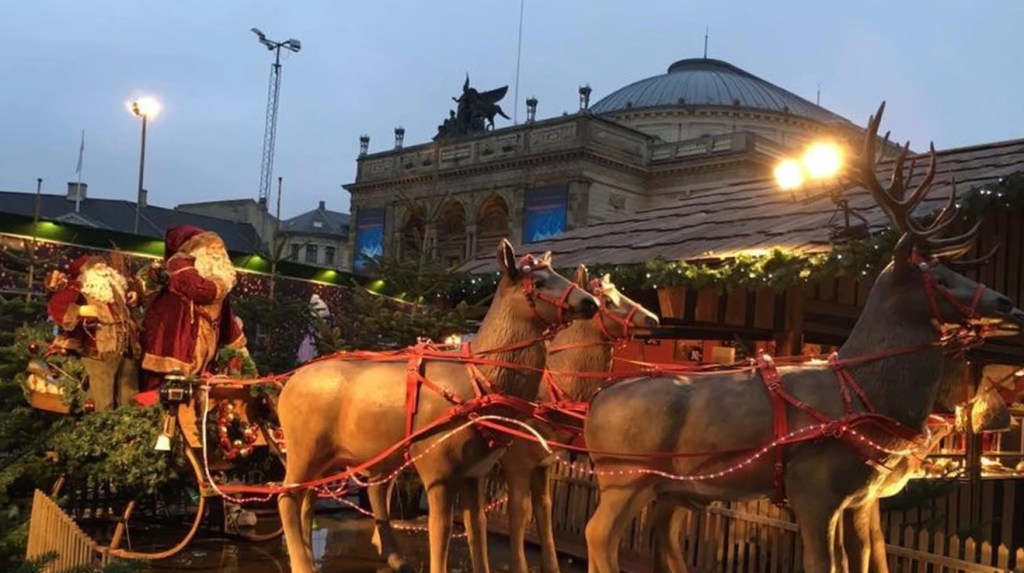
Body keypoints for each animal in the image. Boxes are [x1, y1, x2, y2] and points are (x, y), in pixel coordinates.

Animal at [276, 239, 600, 573]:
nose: (590, 302)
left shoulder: (475, 472)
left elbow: (477, 528)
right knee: (286, 497)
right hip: (304, 447)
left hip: (335, 455)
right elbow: (441, 530)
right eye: (537, 282)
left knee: (314, 498)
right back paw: (303, 564)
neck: (480, 380)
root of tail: (287, 385)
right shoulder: (438, 469)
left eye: (556, 272)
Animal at [500, 266, 660, 573]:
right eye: (607, 301)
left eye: (621, 292)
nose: (653, 319)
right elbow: (520, 511)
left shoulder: (543, 463)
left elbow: (544, 508)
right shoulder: (516, 460)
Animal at [580, 102, 1024, 573]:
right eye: (936, 276)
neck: (869, 396)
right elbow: (823, 563)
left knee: (648, 534)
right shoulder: (813, 488)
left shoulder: (859, 498)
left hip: (666, 485)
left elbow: (860, 559)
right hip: (625, 475)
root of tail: (597, 402)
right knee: (599, 534)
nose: (1009, 304)